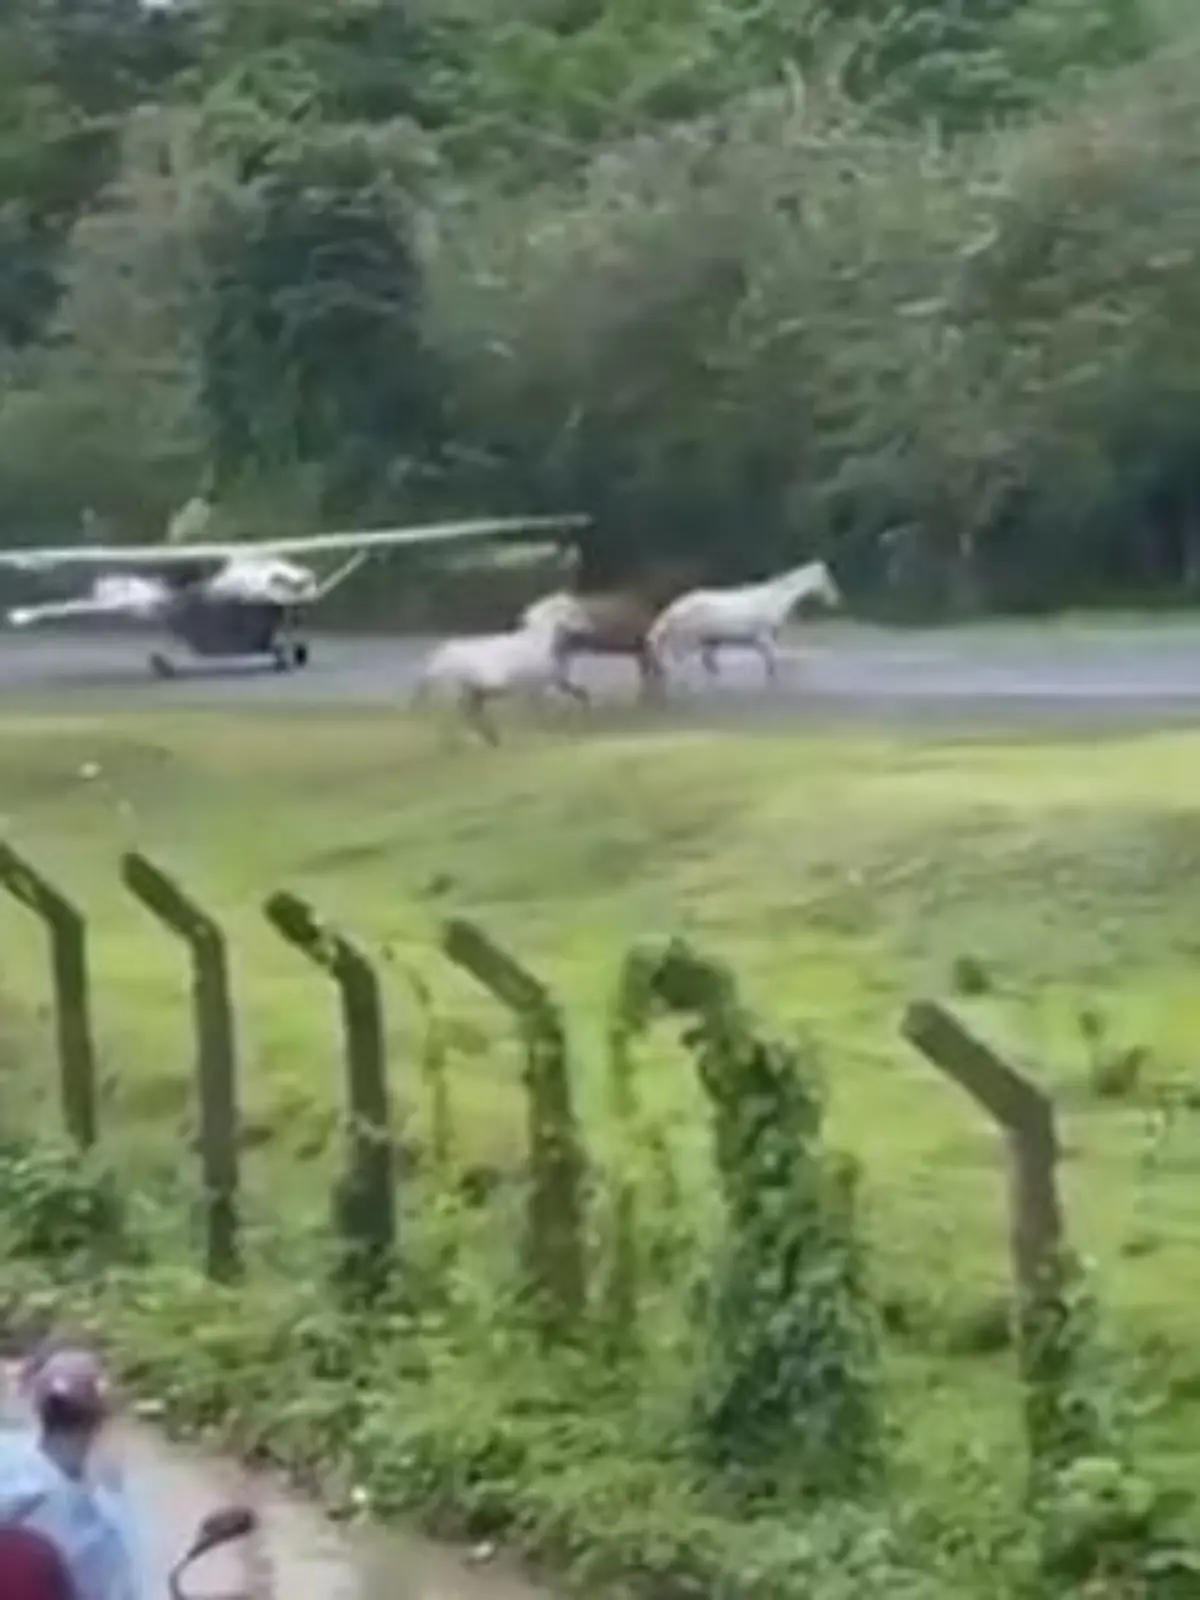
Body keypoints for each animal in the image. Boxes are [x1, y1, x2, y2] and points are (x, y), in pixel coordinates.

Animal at [645, 559, 842, 684]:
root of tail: (675, 607)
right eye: (827, 578)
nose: (835, 600)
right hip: (687, 644)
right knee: (674, 665)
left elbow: (770, 666)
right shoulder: (764, 638)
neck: (774, 599)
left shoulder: (763, 641)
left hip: (709, 642)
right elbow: (772, 666)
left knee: (704, 665)